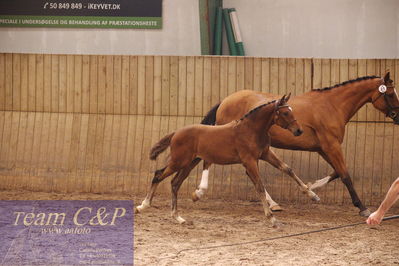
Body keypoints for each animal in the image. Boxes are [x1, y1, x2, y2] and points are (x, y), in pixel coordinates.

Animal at [135, 94, 306, 225]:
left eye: (291, 110)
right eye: (285, 113)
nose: (299, 131)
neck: (251, 130)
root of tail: (176, 132)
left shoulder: (265, 154)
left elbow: (287, 168)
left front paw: (309, 193)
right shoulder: (250, 161)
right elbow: (259, 186)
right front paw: (272, 218)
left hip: (189, 163)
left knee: (175, 183)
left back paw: (178, 218)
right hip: (179, 161)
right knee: (158, 174)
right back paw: (143, 206)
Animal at [191, 71, 399, 216]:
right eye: (390, 94)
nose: (398, 116)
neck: (332, 105)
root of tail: (225, 101)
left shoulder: (324, 149)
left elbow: (336, 173)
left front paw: (311, 188)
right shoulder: (331, 146)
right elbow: (345, 175)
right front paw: (362, 207)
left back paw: (274, 204)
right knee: (211, 161)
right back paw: (200, 192)